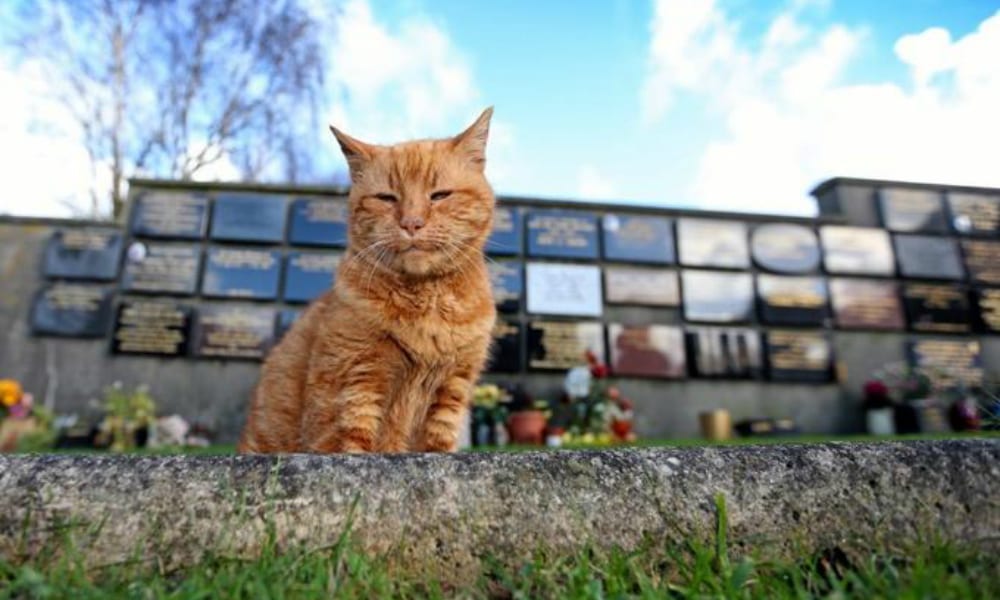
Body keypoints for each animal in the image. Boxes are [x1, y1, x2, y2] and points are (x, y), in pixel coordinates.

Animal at [238, 109, 496, 454]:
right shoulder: (354, 382)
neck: (424, 302)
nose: (411, 223)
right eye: (386, 198)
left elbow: (436, 445)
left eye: (440, 195)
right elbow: (350, 445)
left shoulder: (452, 389)